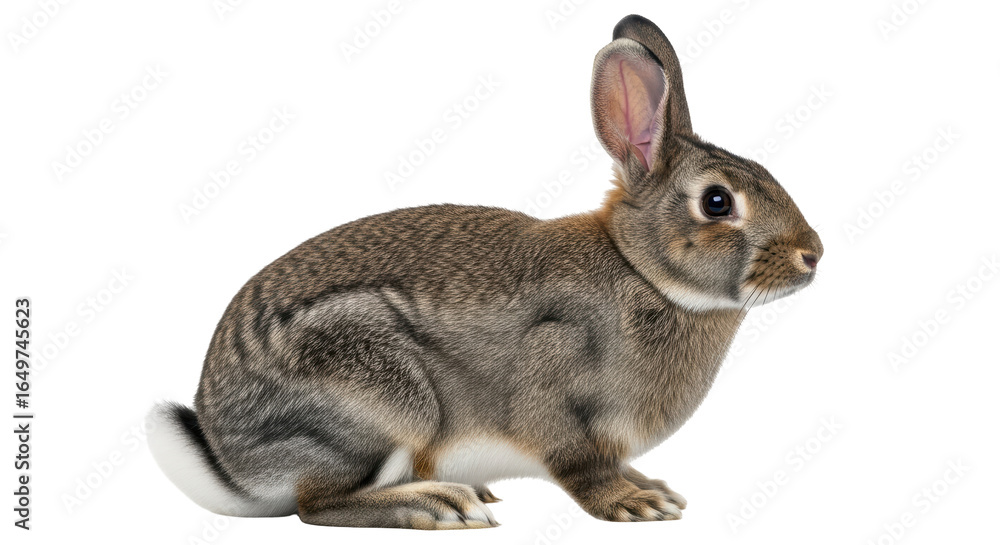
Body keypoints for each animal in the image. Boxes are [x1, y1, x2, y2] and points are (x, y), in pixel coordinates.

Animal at [147, 14, 823, 529]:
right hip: (380, 406)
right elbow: (579, 466)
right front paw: (635, 505)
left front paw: (653, 489)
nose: (812, 254)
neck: (643, 271)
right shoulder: (556, 390)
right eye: (718, 202)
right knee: (318, 504)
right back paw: (439, 506)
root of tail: (231, 457)